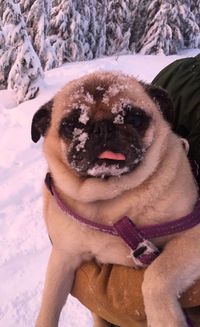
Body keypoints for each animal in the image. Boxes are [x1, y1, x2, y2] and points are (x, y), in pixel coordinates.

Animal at [31, 72, 200, 327]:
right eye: (71, 125)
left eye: (134, 117)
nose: (103, 128)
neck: (111, 198)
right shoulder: (63, 257)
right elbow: (49, 305)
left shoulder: (192, 236)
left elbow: (157, 275)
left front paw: (164, 319)